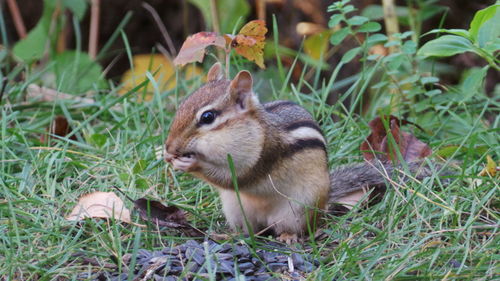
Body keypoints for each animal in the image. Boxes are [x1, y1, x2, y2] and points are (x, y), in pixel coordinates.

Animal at [165, 62, 442, 242]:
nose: (170, 147)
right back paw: (227, 235)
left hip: (295, 211)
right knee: (250, 232)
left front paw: (191, 164)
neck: (252, 129)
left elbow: (236, 177)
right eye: (182, 105)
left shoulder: (263, 155)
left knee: (292, 230)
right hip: (236, 210)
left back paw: (288, 237)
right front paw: (167, 157)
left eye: (208, 117)